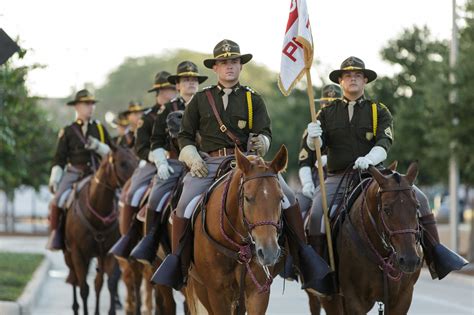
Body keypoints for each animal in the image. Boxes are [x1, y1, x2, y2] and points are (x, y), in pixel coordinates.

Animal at [63, 144, 137, 315]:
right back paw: (75, 307)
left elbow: (109, 283)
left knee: (98, 283)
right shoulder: (77, 253)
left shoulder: (109, 253)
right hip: (69, 255)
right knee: (75, 279)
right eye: (122, 163)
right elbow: (84, 288)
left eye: (137, 161)